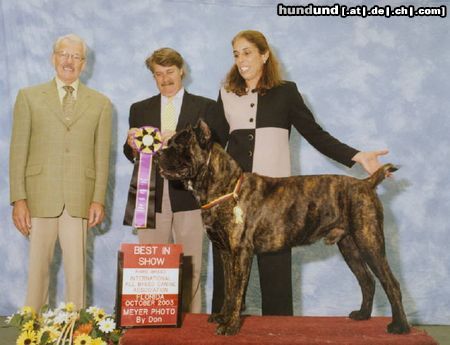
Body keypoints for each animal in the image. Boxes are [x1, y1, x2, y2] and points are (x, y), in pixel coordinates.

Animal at [156, 120, 410, 334]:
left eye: (179, 144)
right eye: (169, 142)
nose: (157, 153)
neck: (225, 186)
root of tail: (366, 183)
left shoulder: (240, 252)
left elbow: (237, 290)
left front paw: (231, 326)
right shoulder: (226, 253)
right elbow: (229, 289)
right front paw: (224, 316)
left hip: (369, 242)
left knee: (391, 283)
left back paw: (400, 326)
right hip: (349, 247)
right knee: (367, 281)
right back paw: (363, 315)